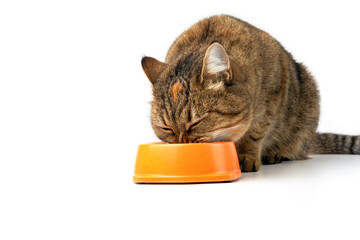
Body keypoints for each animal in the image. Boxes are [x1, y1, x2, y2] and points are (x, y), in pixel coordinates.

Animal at [141, 14, 360, 171]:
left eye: (196, 123)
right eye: (167, 128)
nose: (182, 145)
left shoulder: (274, 94)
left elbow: (256, 130)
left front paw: (246, 155)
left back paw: (276, 153)